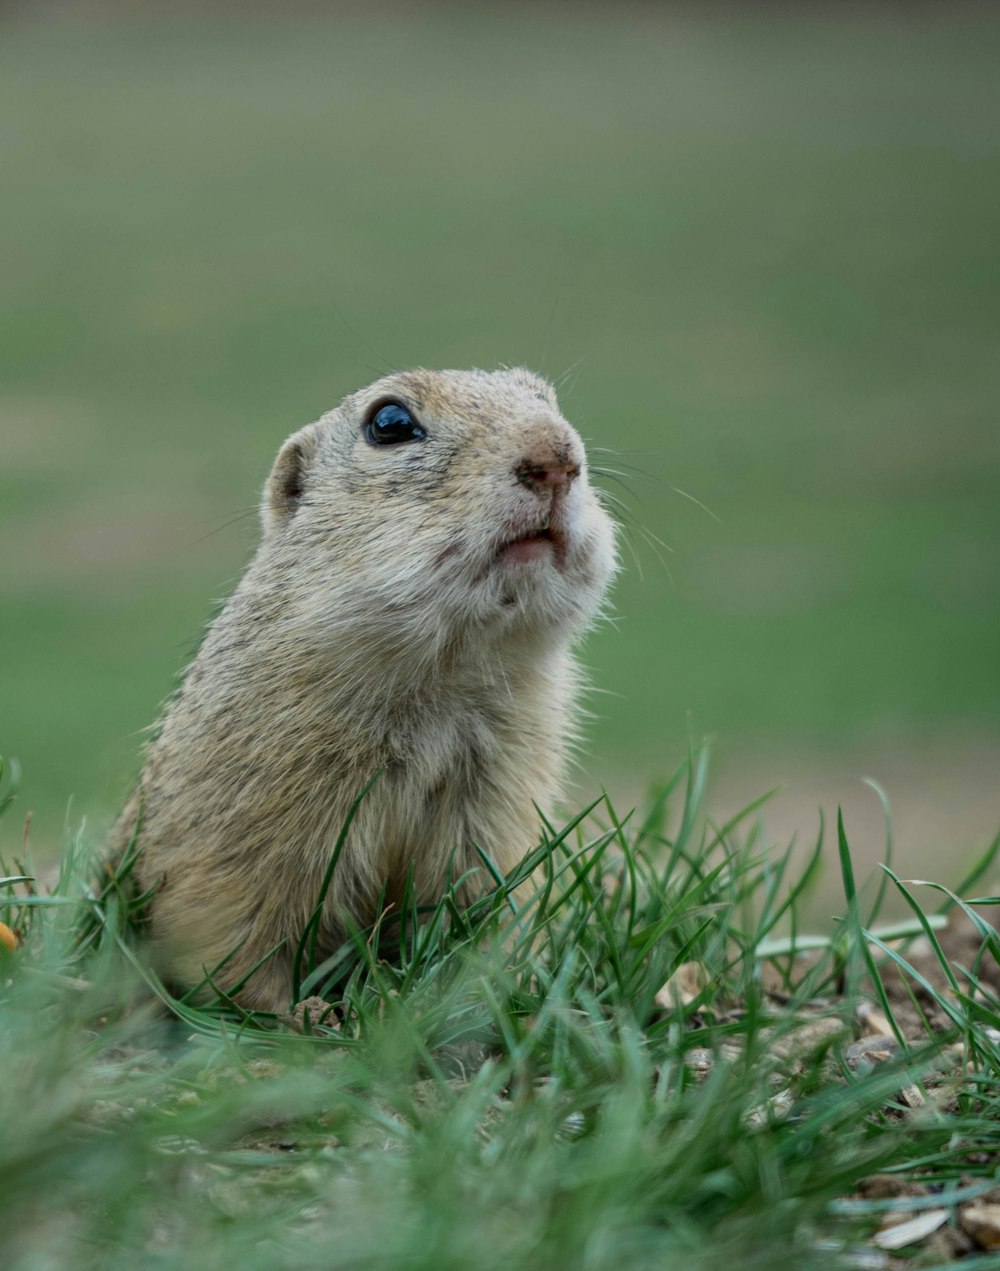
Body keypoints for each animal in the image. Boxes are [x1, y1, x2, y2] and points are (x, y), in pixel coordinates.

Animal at [117, 368, 617, 1011]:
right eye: (390, 423)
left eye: (544, 396)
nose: (557, 457)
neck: (443, 678)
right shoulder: (239, 820)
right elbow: (231, 931)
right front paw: (297, 1011)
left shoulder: (497, 800)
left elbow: (473, 905)